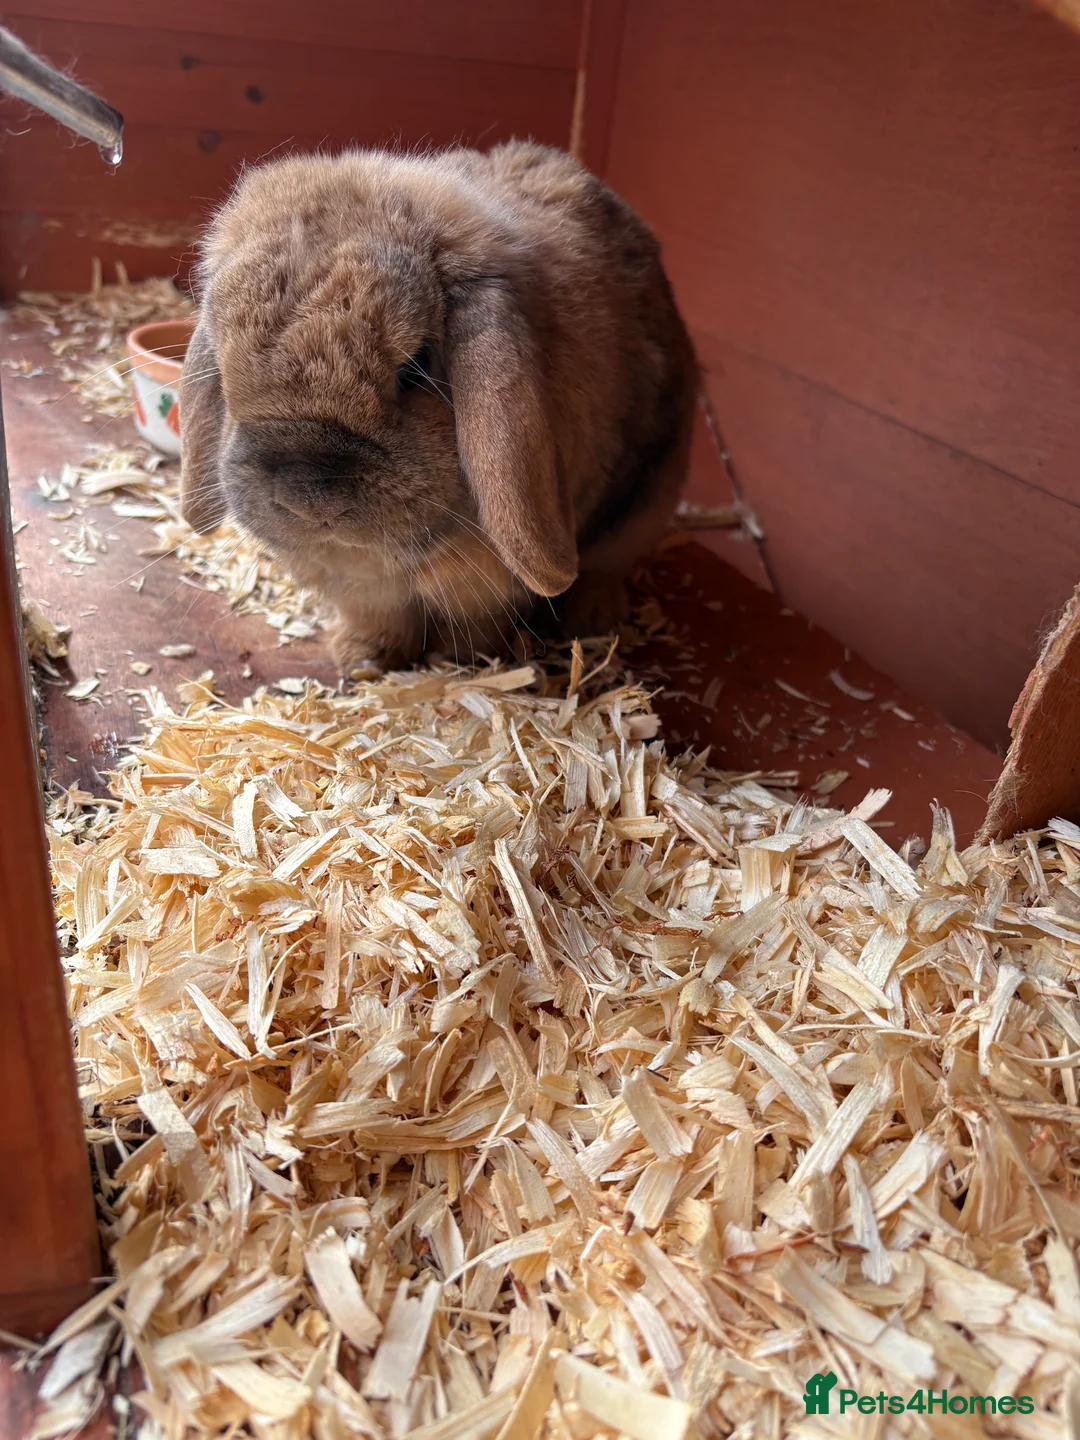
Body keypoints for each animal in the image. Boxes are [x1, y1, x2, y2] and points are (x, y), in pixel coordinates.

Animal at [179, 141, 697, 676]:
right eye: (225, 373)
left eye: (415, 366)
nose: (308, 499)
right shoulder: (368, 594)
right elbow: (379, 619)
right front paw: (363, 659)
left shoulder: (488, 588)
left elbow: (480, 622)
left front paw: (463, 660)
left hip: (646, 501)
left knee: (606, 565)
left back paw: (591, 619)